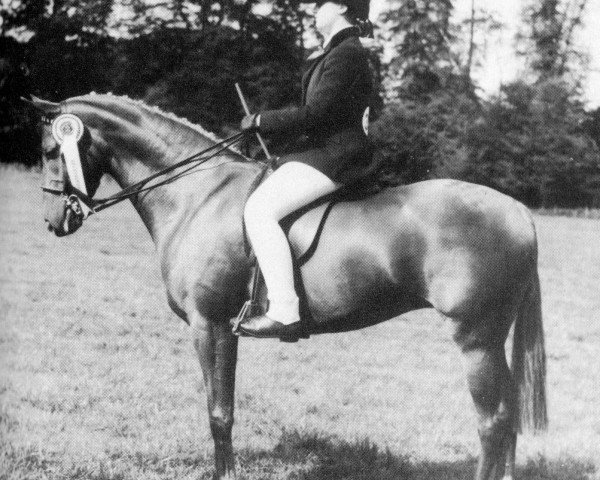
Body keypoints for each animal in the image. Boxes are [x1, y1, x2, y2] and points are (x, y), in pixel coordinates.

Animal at [27, 94, 548, 480]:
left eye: (53, 151)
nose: (54, 221)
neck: (199, 195)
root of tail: (519, 212)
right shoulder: (218, 328)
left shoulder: (210, 324)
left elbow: (219, 412)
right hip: (491, 340)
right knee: (508, 419)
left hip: (475, 339)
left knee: (493, 422)